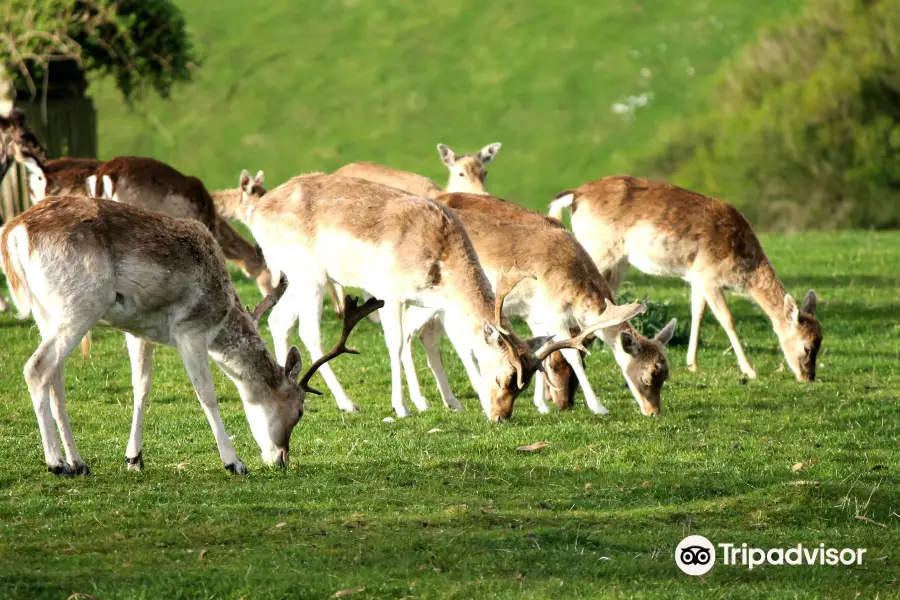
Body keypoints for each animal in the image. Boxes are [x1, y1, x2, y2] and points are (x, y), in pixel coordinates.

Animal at [0, 195, 382, 476]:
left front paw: (134, 459)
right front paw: (235, 462)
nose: (282, 459)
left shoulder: (138, 330)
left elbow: (142, 386)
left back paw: (77, 462)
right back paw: (55, 464)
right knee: (36, 368)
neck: (222, 306)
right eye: (301, 411)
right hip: (79, 307)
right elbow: (206, 393)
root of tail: (15, 231)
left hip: (47, 313)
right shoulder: (190, 330)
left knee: (56, 380)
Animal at [234, 171, 640, 420]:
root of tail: (257, 209)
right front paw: (402, 407)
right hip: (312, 277)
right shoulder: (391, 295)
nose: (501, 416)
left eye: (523, 382)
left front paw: (456, 401)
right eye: (506, 377)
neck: (440, 253)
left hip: (297, 278)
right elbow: (396, 344)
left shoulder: (435, 304)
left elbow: (453, 344)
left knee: (279, 320)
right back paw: (349, 404)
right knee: (310, 332)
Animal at [404, 198, 672, 418]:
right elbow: (572, 354)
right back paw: (419, 402)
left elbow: (542, 350)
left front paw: (542, 405)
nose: (653, 412)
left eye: (666, 374)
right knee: (409, 330)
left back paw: (449, 402)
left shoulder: (536, 316)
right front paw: (598, 407)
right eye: (649, 374)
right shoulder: (554, 314)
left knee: (426, 334)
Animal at [548, 176, 824, 380]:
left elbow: (697, 313)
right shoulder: (710, 275)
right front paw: (750, 370)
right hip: (600, 250)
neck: (744, 269)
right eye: (808, 347)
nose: (808, 377)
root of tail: (576, 195)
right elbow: (727, 319)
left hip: (618, 261)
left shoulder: (696, 277)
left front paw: (692, 364)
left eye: (821, 341)